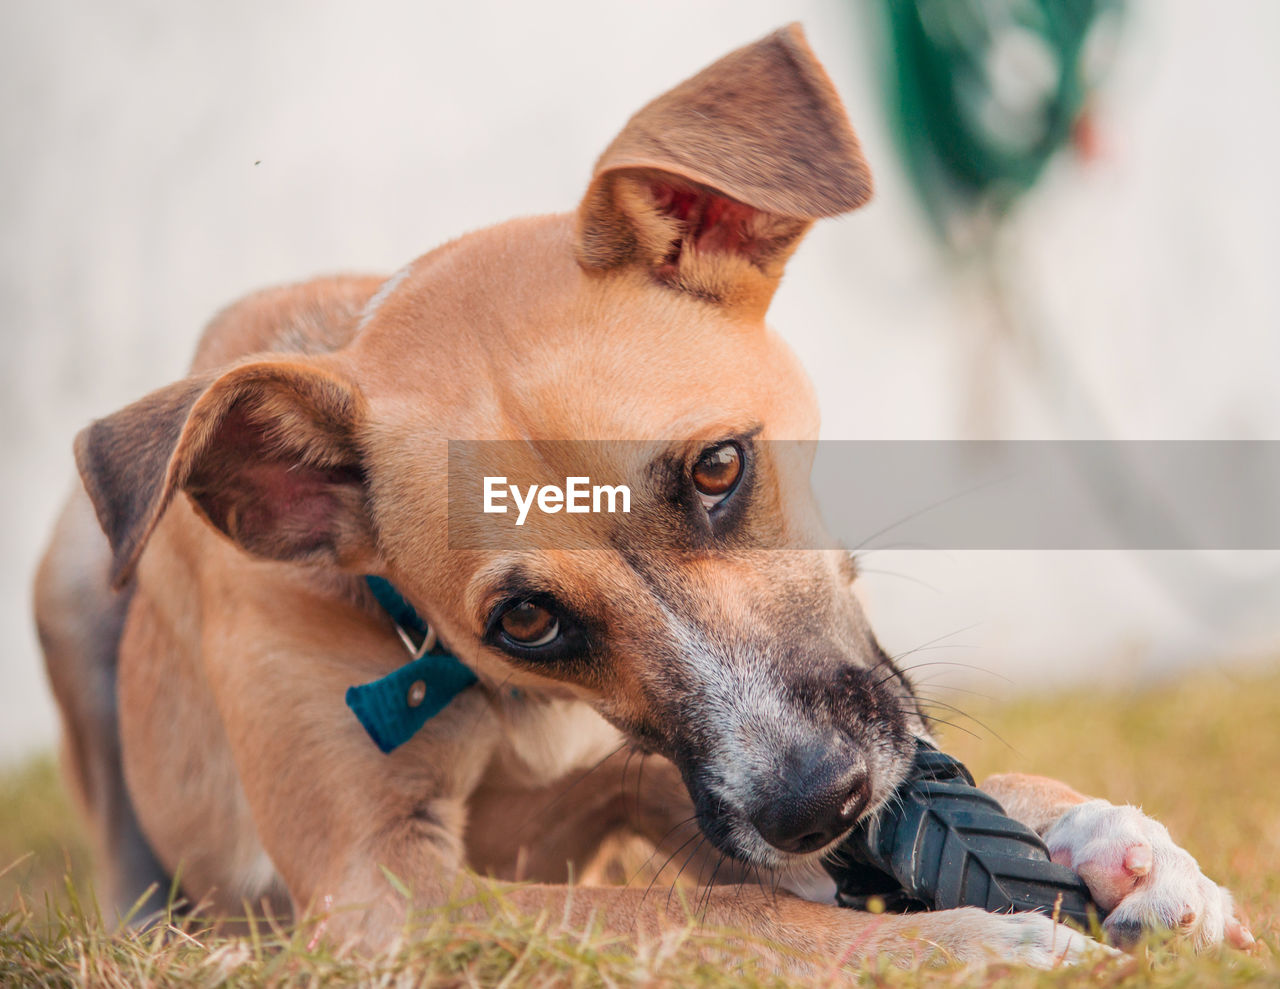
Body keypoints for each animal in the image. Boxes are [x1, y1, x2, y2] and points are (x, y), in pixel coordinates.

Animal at [37, 25, 1249, 972]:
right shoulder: (384, 889)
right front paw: (958, 941)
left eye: (718, 467)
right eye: (525, 618)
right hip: (74, 586)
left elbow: (739, 866)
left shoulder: (665, 781)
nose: (827, 803)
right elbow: (715, 909)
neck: (492, 704)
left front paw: (1114, 841)